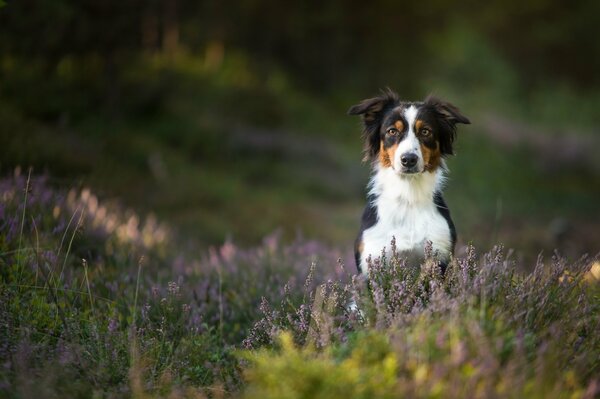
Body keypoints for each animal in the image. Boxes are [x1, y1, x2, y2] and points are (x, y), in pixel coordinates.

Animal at [350, 89, 472, 274]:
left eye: (425, 131)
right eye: (392, 131)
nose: (408, 159)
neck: (408, 196)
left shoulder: (439, 256)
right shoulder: (371, 260)